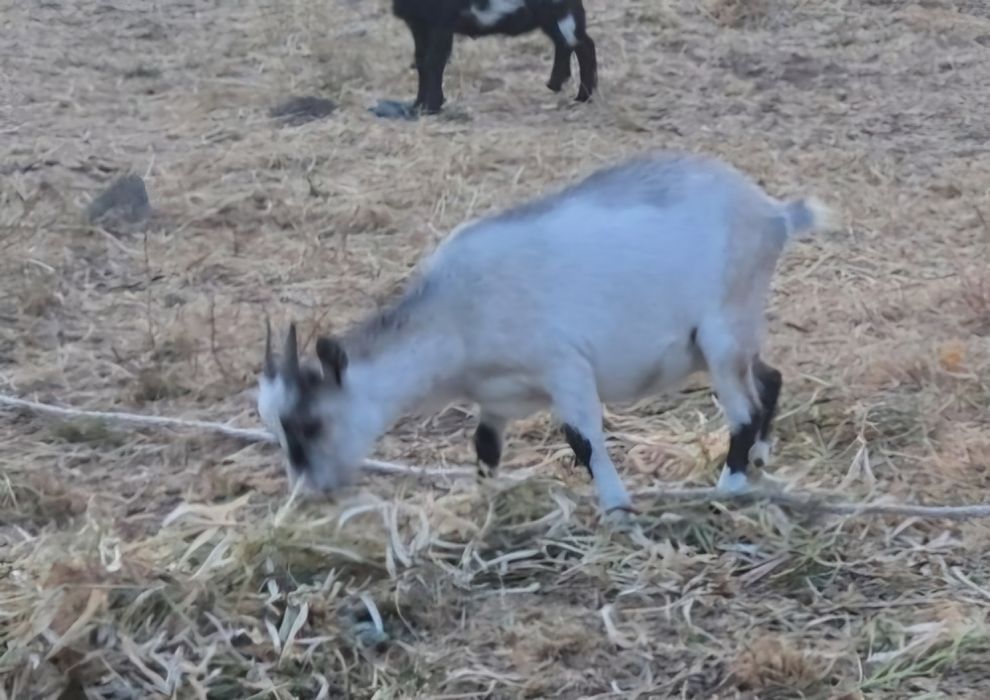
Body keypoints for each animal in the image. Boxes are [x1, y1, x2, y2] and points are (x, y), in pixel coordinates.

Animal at [257, 151, 833, 523]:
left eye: (309, 423)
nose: (307, 493)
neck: (456, 315)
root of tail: (773, 214)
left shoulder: (565, 367)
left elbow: (584, 440)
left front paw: (617, 509)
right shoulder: (496, 396)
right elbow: (485, 445)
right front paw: (485, 501)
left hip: (720, 333)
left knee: (741, 410)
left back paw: (729, 484)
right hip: (720, 341)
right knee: (769, 378)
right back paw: (759, 459)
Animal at [391, 0, 597, 114]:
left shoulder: (441, 23)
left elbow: (432, 62)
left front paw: (430, 107)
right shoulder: (419, 24)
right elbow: (421, 62)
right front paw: (417, 105)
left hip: (560, 11)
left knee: (583, 45)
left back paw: (583, 96)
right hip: (551, 17)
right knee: (565, 43)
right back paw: (555, 84)